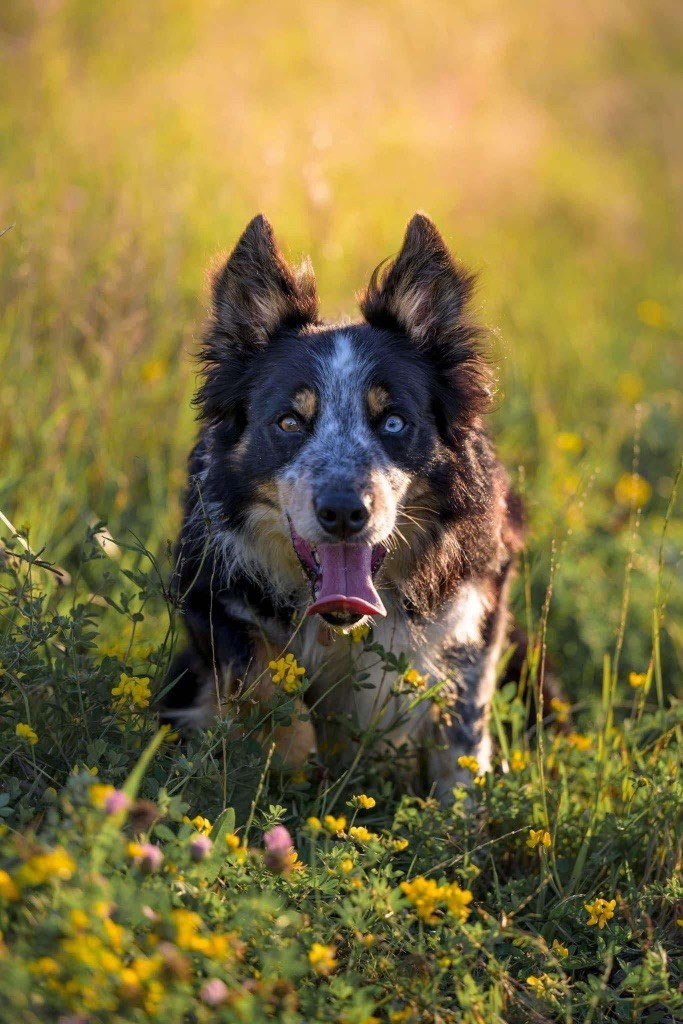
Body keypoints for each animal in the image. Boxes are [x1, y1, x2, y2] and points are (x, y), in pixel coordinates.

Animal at [161, 207, 528, 798]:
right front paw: (292, 767)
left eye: (394, 422)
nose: (343, 512)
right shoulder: (209, 591)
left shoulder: (476, 607)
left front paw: (460, 814)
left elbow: (462, 733)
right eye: (290, 421)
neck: (345, 627)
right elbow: (267, 682)